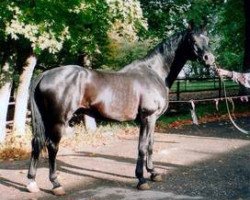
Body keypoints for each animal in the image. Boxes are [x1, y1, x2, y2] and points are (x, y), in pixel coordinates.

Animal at [26, 23, 215, 195]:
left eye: (208, 39)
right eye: (192, 40)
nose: (209, 59)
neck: (154, 73)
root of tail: (45, 74)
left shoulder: (151, 119)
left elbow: (150, 145)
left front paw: (153, 173)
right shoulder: (148, 117)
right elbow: (142, 147)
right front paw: (141, 180)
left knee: (36, 144)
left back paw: (32, 183)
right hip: (58, 120)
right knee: (52, 147)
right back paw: (56, 184)